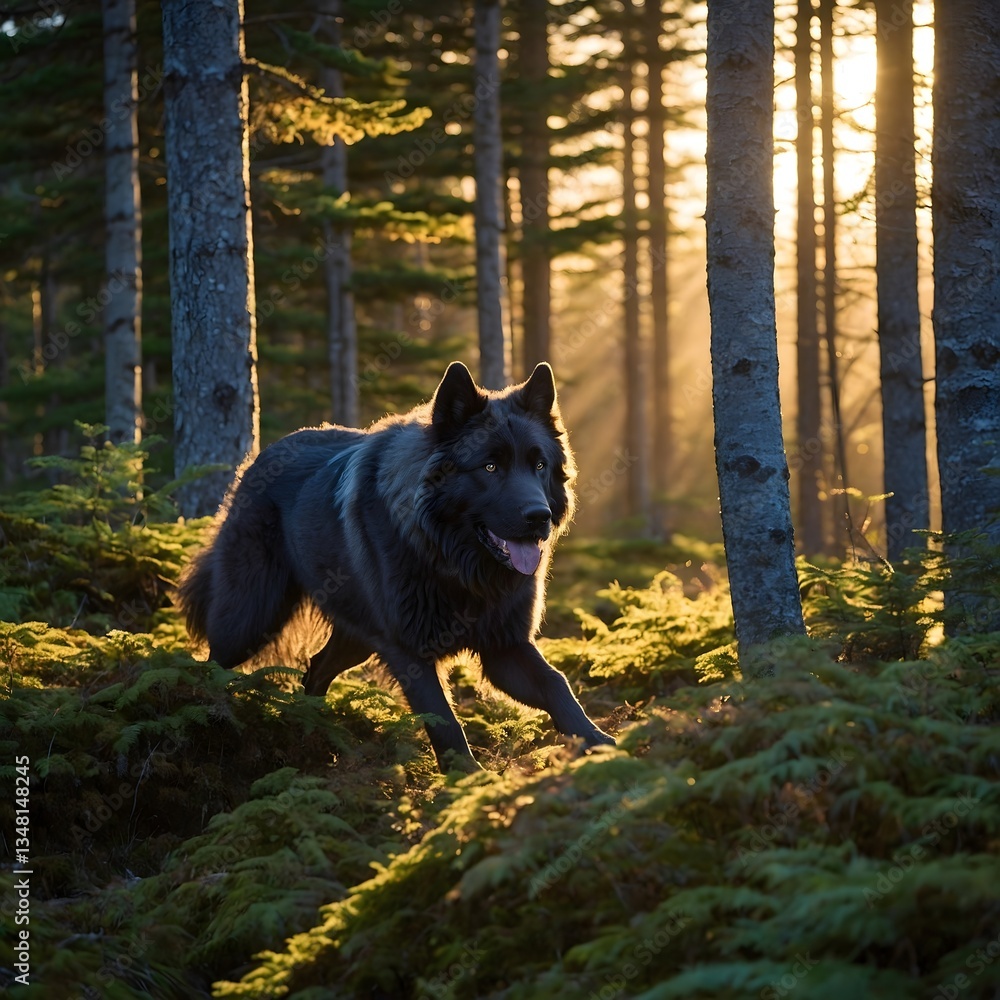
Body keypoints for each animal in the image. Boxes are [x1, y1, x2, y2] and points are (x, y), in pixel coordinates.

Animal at [178, 361, 616, 769]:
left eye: (539, 465)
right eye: (490, 467)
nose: (540, 517)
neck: (452, 562)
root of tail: (257, 460)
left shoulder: (504, 646)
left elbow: (557, 685)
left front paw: (602, 745)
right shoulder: (409, 653)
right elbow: (443, 718)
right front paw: (469, 780)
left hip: (355, 636)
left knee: (315, 668)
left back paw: (313, 731)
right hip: (252, 618)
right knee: (210, 664)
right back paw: (210, 719)